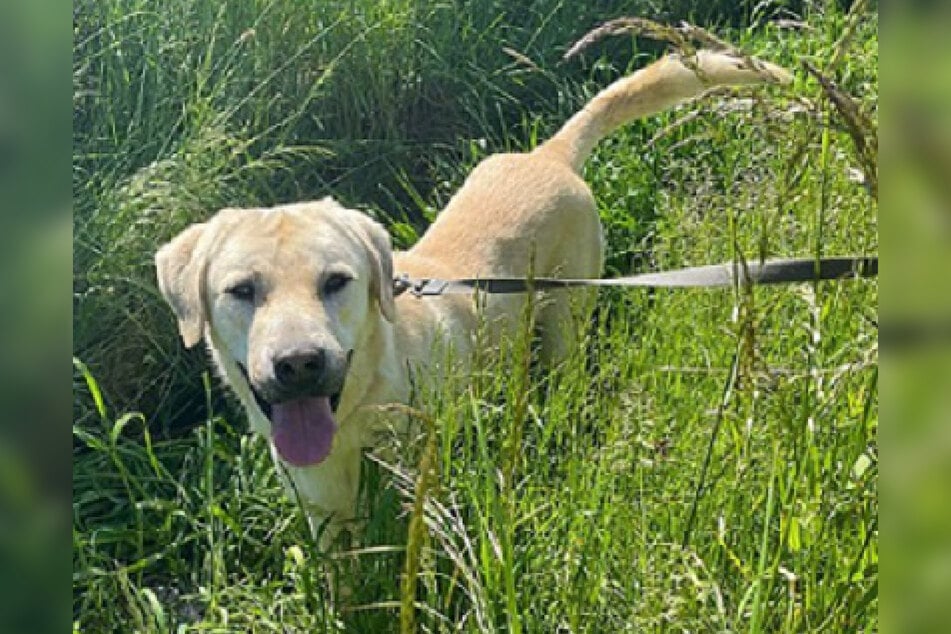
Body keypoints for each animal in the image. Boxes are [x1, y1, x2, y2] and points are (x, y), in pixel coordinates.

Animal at [156, 49, 792, 544]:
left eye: (336, 281)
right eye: (242, 290)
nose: (299, 364)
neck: (360, 406)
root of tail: (546, 155)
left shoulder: (419, 484)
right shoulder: (323, 504)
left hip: (565, 319)